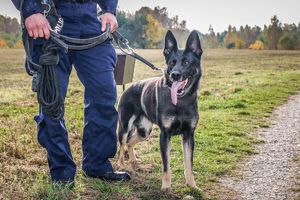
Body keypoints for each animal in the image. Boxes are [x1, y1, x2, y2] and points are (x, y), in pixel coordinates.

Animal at [116, 30, 203, 191]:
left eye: (186, 62)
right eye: (171, 63)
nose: (174, 74)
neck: (180, 102)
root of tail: (128, 88)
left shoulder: (189, 135)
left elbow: (189, 164)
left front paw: (192, 185)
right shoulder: (165, 135)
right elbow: (166, 166)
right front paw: (166, 188)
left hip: (144, 131)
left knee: (130, 142)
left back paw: (134, 161)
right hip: (125, 127)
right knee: (123, 144)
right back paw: (120, 165)